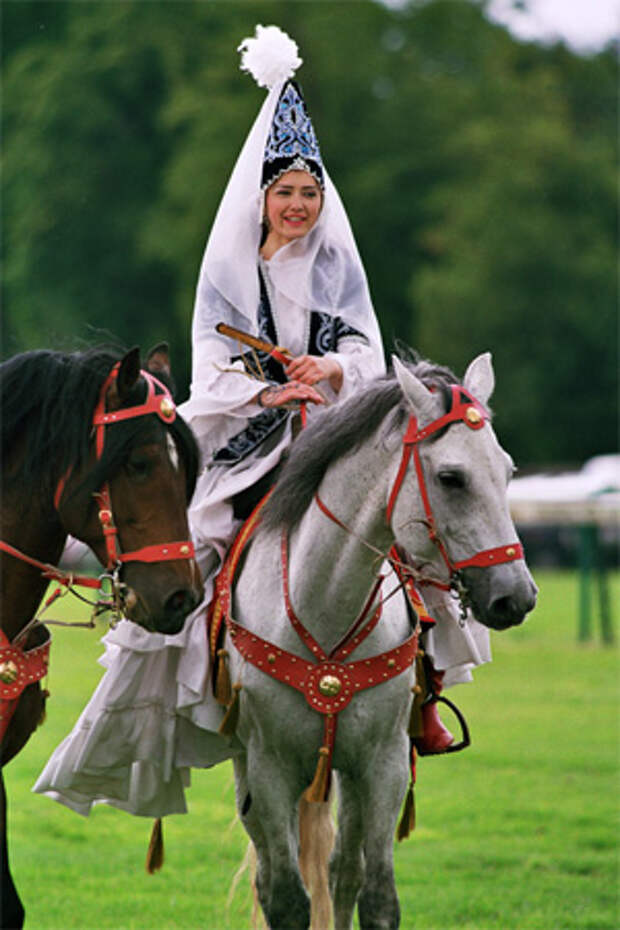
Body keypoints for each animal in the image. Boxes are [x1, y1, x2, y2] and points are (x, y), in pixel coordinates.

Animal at [220, 354, 536, 928]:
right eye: (451, 478)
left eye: (507, 472)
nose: (515, 596)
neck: (324, 604)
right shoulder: (268, 768)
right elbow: (287, 900)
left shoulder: (382, 764)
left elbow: (377, 896)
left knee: (343, 870)